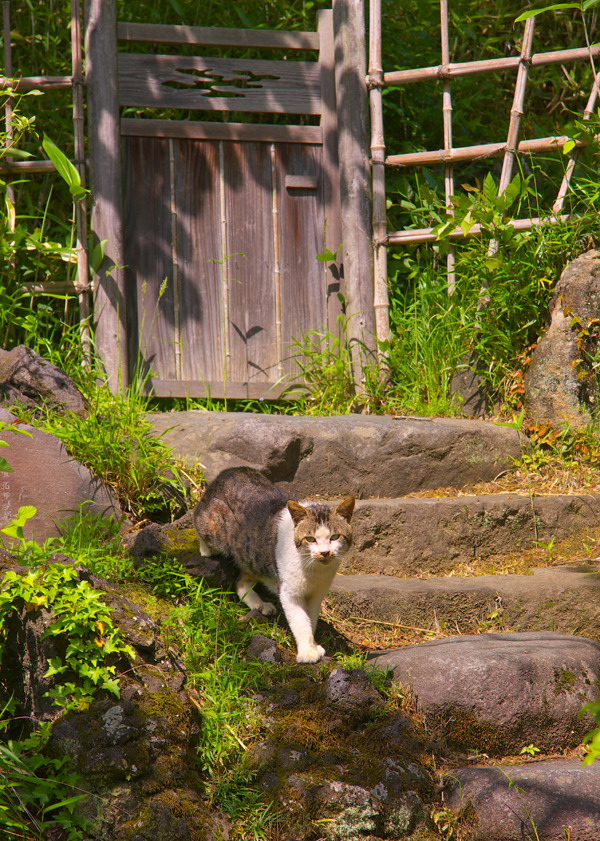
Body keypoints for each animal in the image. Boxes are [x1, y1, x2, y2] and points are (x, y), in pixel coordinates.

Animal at [192, 466, 354, 664]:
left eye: (335, 537)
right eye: (310, 539)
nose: (325, 552)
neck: (315, 570)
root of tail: (228, 472)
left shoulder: (317, 593)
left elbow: (311, 619)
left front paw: (313, 645)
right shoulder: (289, 592)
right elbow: (301, 621)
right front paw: (308, 652)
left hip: (251, 556)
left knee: (240, 581)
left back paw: (259, 604)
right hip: (216, 529)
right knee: (197, 516)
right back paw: (205, 549)